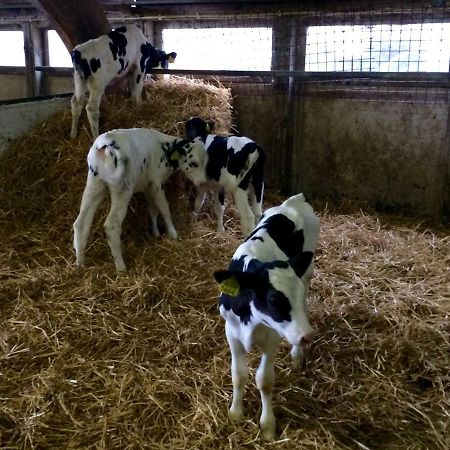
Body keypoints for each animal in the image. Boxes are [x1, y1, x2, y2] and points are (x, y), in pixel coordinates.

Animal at [73, 126, 188, 270]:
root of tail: (104, 147)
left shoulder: (147, 187)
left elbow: (153, 209)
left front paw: (156, 232)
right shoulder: (156, 183)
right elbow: (164, 208)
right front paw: (173, 234)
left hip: (95, 183)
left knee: (80, 222)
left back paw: (80, 263)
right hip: (122, 187)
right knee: (112, 225)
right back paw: (121, 267)